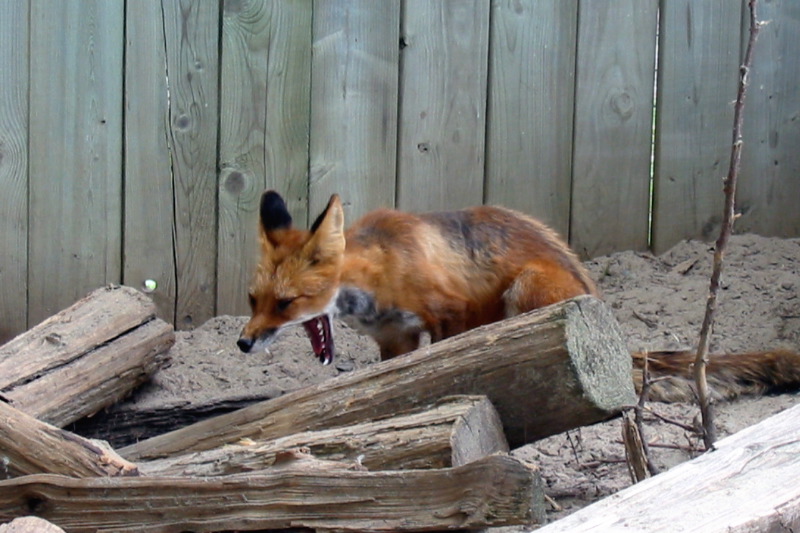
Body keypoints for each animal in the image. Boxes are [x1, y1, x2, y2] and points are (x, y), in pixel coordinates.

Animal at [237, 190, 800, 402]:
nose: (242, 344)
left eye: (285, 304)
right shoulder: (395, 339)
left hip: (526, 288)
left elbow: (445, 363)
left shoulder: (452, 313)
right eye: (252, 299)